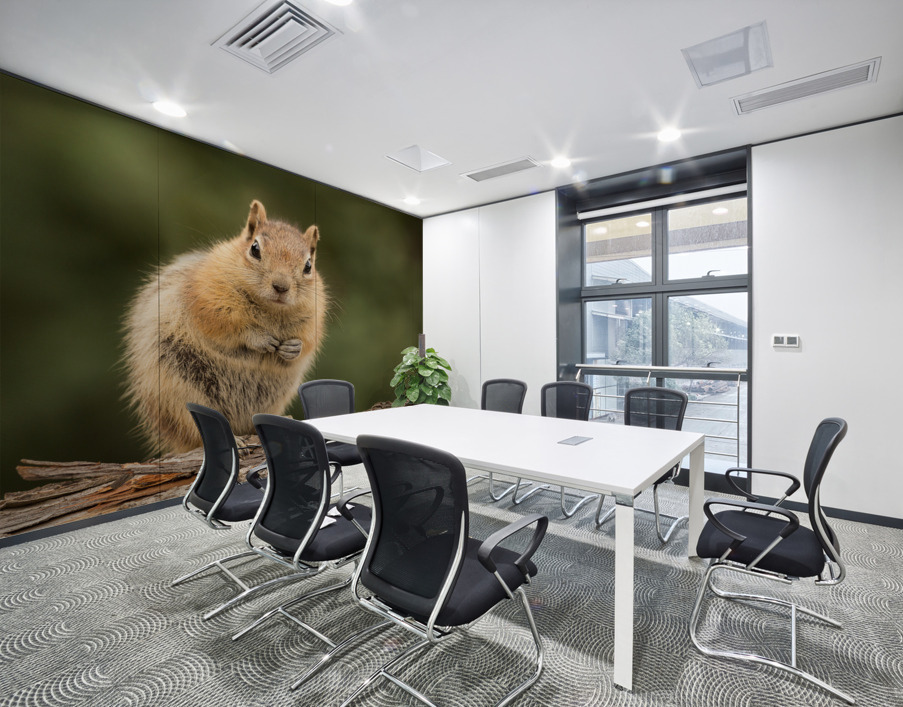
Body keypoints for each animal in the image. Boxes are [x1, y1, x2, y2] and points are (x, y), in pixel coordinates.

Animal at [123, 200, 328, 454]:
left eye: (308, 265)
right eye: (255, 249)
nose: (281, 287)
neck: (269, 310)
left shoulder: (314, 315)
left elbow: (308, 341)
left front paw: (293, 348)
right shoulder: (208, 298)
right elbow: (225, 325)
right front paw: (258, 338)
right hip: (178, 394)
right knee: (196, 430)